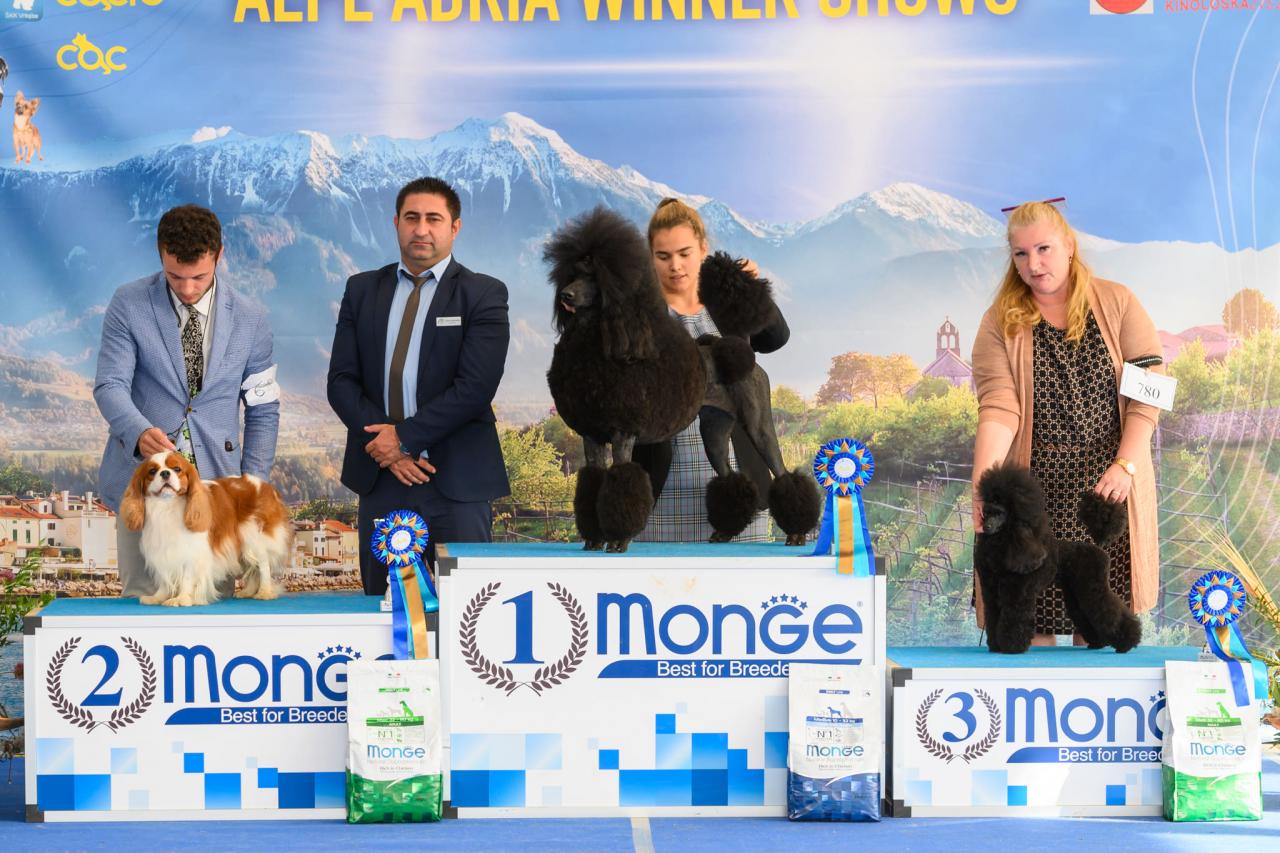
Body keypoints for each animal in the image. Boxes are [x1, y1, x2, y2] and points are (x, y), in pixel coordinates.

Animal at [120, 452, 292, 606]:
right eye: (152, 471)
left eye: (177, 469)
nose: (165, 473)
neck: (167, 506)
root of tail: (267, 487)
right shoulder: (163, 551)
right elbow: (164, 578)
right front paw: (158, 597)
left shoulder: (192, 552)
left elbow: (187, 577)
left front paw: (182, 599)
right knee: (252, 567)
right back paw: (248, 592)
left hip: (253, 538)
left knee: (263, 565)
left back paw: (264, 592)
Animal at [974, 463, 1142, 654]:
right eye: (986, 512)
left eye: (999, 513)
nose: (986, 527)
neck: (1002, 544)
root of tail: (1098, 546)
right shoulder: (990, 591)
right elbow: (993, 616)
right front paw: (996, 646)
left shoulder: (1017, 592)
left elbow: (1013, 617)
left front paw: (1011, 647)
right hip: (1076, 591)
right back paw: (1098, 643)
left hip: (1092, 587)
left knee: (1108, 610)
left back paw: (1126, 643)